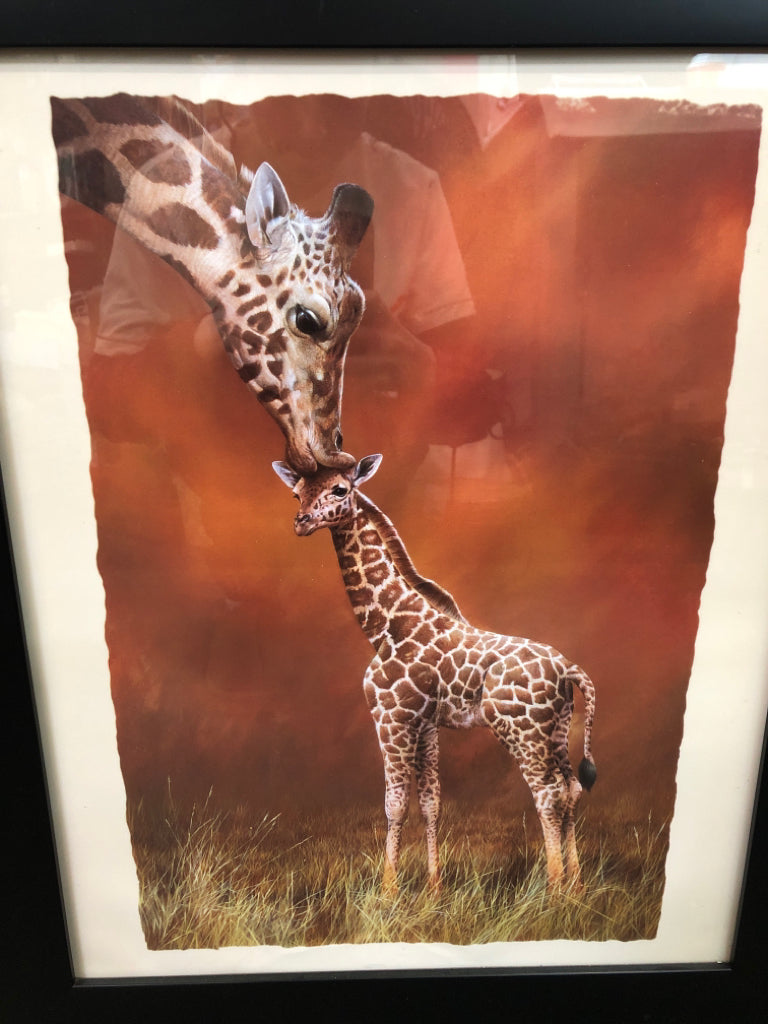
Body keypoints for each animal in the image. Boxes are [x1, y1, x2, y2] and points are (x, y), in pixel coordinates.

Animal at [273, 454, 597, 896]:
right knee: (572, 788)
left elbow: (395, 804)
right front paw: (433, 888)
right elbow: (430, 804)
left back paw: (554, 890)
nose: (301, 521)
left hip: (521, 730)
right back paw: (576, 887)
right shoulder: (426, 724)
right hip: (558, 730)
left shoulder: (392, 717)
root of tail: (569, 669)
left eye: (340, 489)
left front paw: (388, 891)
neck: (385, 626)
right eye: (296, 493)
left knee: (548, 793)